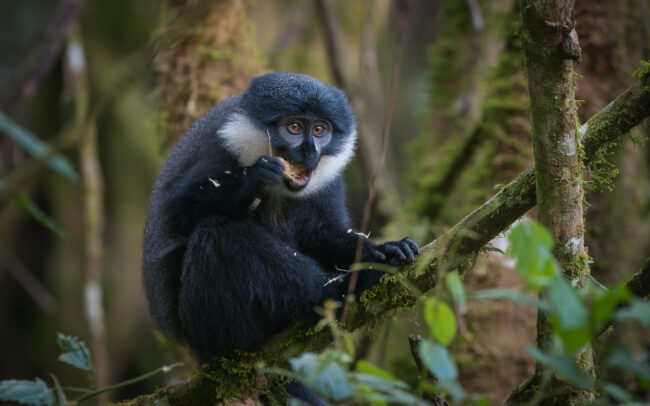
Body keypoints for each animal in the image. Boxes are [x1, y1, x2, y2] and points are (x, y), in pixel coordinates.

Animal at [142, 72, 419, 399]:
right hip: (207, 324)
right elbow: (180, 215)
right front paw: (253, 179)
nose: (309, 151)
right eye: (294, 127)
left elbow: (321, 233)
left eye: (320, 129)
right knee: (216, 233)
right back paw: (341, 291)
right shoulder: (217, 150)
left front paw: (385, 249)